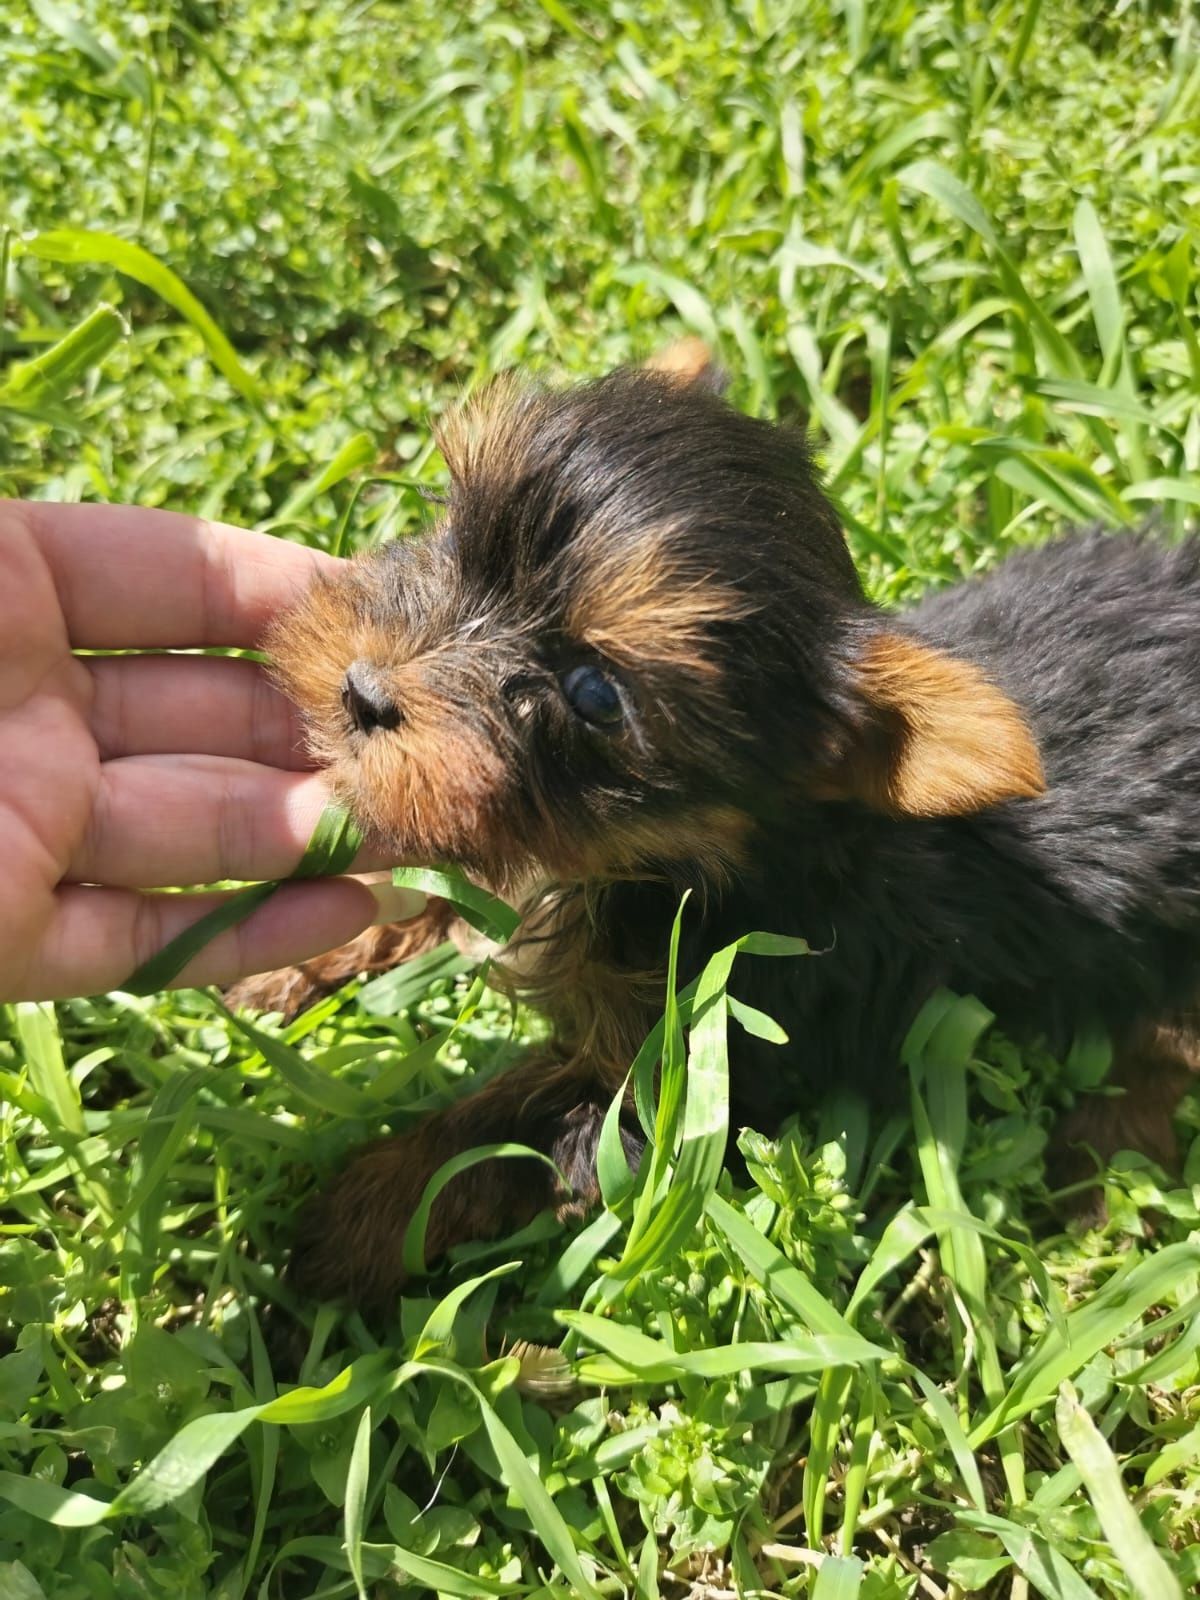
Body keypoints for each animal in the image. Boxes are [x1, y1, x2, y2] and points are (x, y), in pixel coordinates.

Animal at [240, 356, 1196, 1305]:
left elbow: (503, 1131)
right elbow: (425, 896)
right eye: (454, 532)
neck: (677, 861)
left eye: (596, 694)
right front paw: (286, 960)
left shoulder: (687, 1062)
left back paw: (1106, 1153)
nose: (362, 689)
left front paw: (359, 1216)